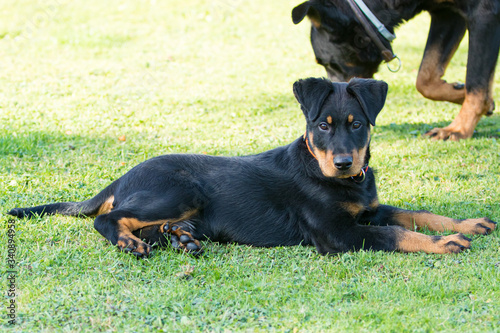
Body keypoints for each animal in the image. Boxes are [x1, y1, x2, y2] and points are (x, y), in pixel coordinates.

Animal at [7, 78, 496, 256]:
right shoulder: (336, 234)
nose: (343, 163)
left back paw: (180, 238)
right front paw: (446, 241)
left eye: (357, 125)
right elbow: (396, 232)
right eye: (322, 124)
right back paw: (132, 242)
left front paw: (465, 224)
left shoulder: (368, 209)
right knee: (109, 219)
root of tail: (122, 177)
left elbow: (414, 212)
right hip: (179, 190)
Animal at [292, 0, 500, 140]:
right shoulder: (446, 14)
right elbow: (425, 78)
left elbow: (476, 81)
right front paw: (472, 97)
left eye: (329, 64)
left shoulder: (484, 13)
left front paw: (458, 129)